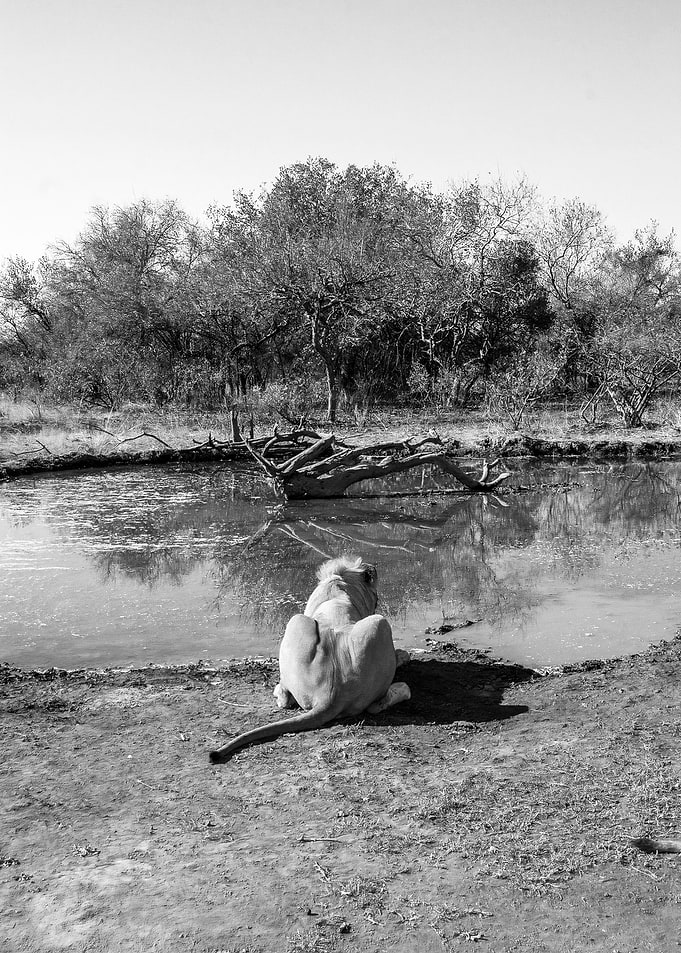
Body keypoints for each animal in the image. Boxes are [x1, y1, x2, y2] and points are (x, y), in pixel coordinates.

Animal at [209, 556, 411, 763]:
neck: (338, 584)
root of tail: (329, 695)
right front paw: (403, 655)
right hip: (377, 622)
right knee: (380, 704)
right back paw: (402, 686)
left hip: (300, 621)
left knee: (285, 697)